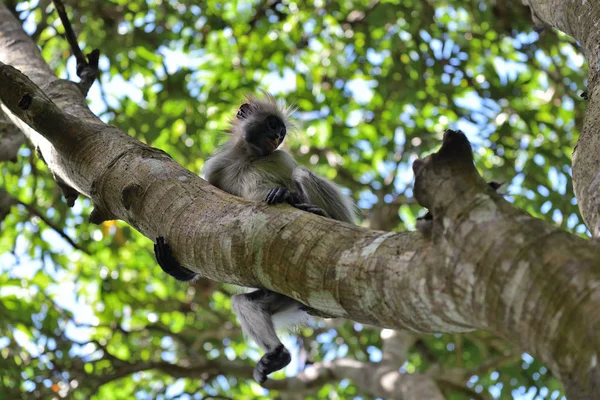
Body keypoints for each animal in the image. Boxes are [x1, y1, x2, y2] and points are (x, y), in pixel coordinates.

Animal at [152, 94, 356, 384]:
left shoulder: (280, 156)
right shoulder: (214, 170)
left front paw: (288, 196)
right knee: (244, 302)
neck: (247, 158)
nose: (279, 135)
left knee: (302, 174)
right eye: (272, 124)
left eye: (282, 132)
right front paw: (176, 268)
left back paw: (314, 210)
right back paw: (277, 356)